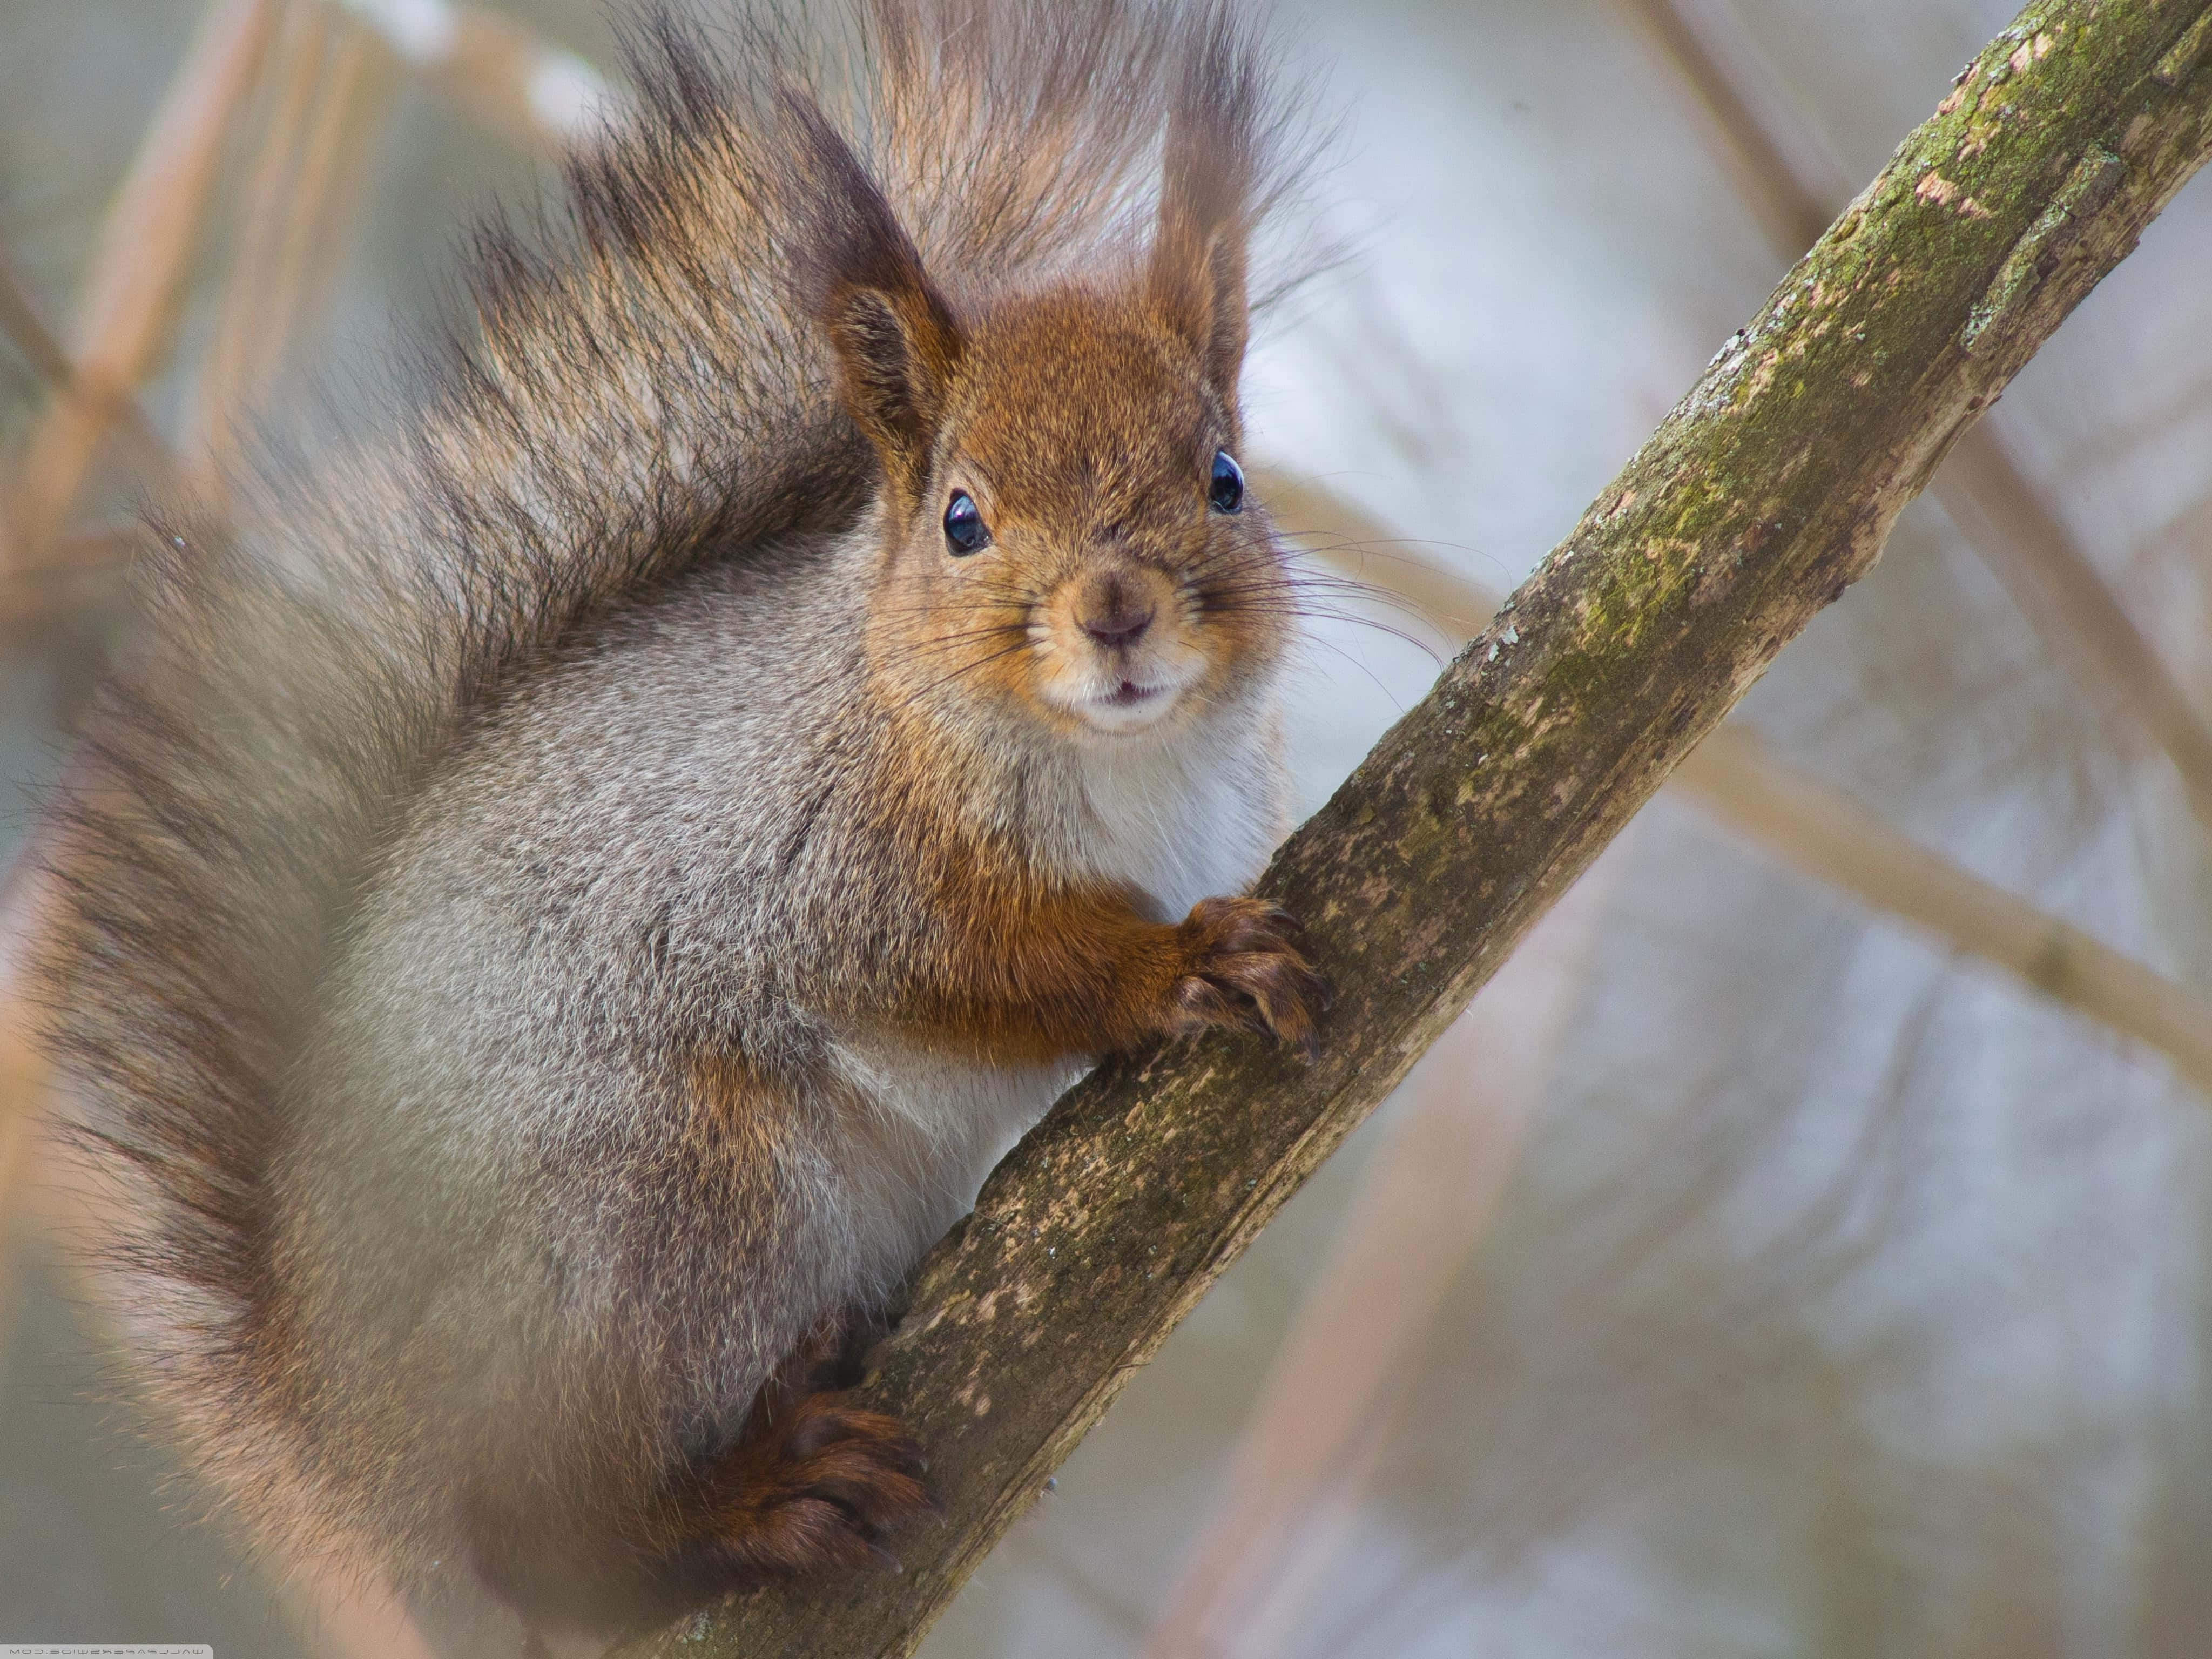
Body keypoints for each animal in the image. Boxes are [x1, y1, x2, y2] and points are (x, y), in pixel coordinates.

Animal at [30, 0, 1327, 1645]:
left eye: (1224, 479)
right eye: (963, 517)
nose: (1115, 611)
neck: (1111, 759)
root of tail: (347, 1434)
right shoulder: (822, 858)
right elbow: (979, 967)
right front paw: (1173, 967)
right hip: (667, 1208)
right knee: (543, 1541)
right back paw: (747, 1500)